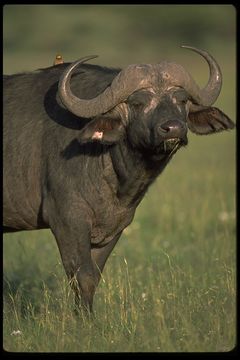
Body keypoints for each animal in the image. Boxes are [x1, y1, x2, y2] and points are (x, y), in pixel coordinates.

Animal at [2, 46, 234, 312]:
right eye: (138, 103)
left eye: (182, 100)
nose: (173, 129)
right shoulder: (67, 221)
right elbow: (81, 276)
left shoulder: (113, 229)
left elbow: (93, 278)